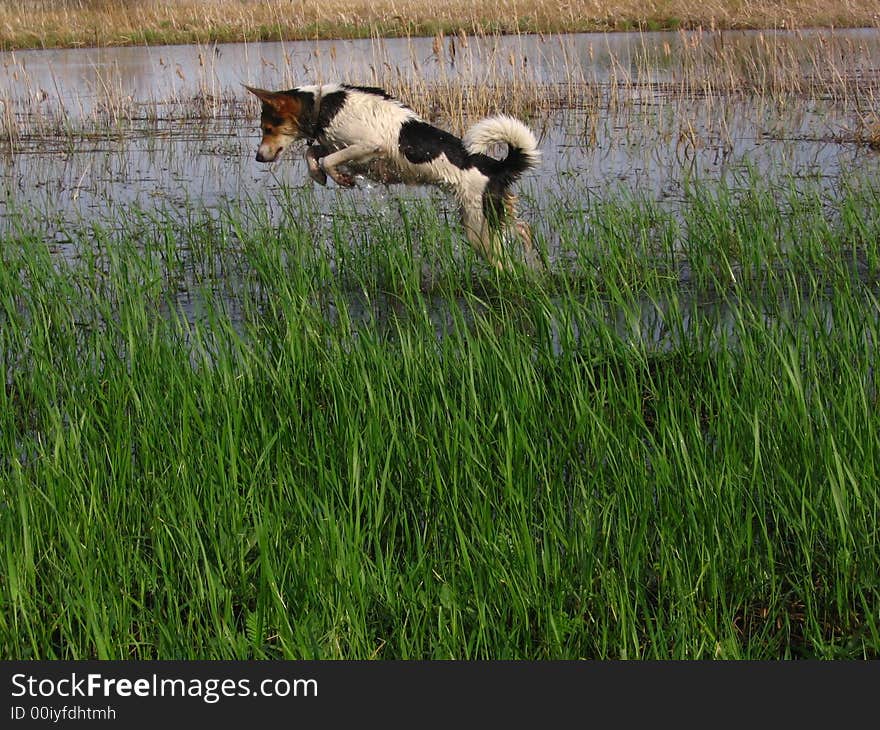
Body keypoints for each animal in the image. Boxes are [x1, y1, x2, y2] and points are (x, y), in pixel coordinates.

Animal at [244, 83, 540, 270]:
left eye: (268, 128)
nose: (258, 157)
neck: (322, 106)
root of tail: (496, 167)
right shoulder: (344, 149)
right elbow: (314, 153)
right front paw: (318, 174)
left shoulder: (367, 147)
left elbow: (327, 159)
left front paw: (338, 177)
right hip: (490, 215)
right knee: (522, 228)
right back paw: (531, 254)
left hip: (478, 227)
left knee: (503, 256)